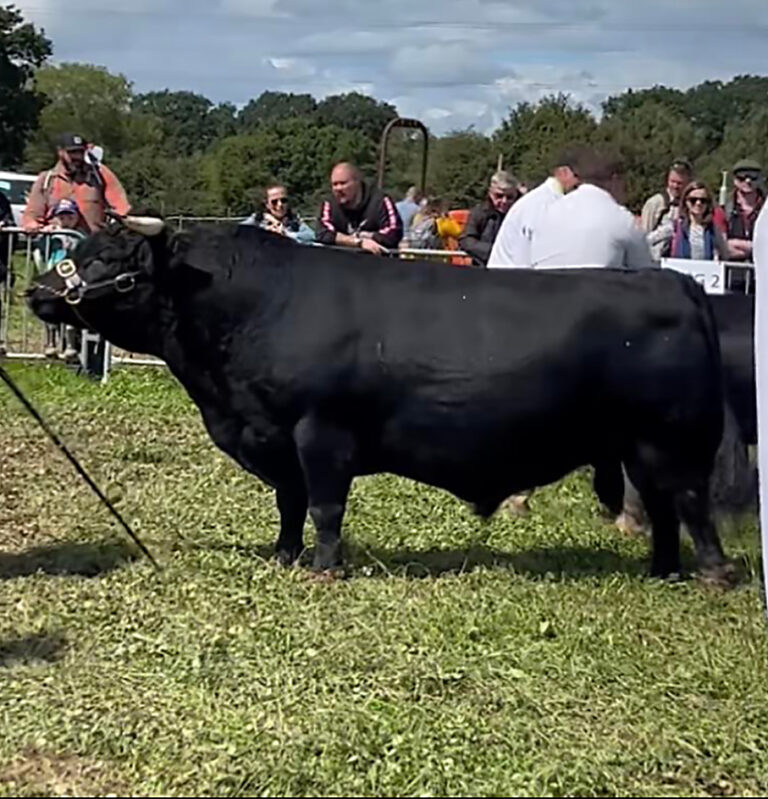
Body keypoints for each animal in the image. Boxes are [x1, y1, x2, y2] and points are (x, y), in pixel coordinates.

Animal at [26, 216, 732, 581]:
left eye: (112, 257)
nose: (36, 291)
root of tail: (675, 283)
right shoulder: (275, 437)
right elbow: (291, 504)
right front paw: (284, 556)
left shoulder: (321, 432)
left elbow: (325, 507)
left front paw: (324, 568)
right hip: (640, 445)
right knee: (664, 510)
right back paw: (662, 570)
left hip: (675, 440)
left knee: (691, 505)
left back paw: (713, 575)